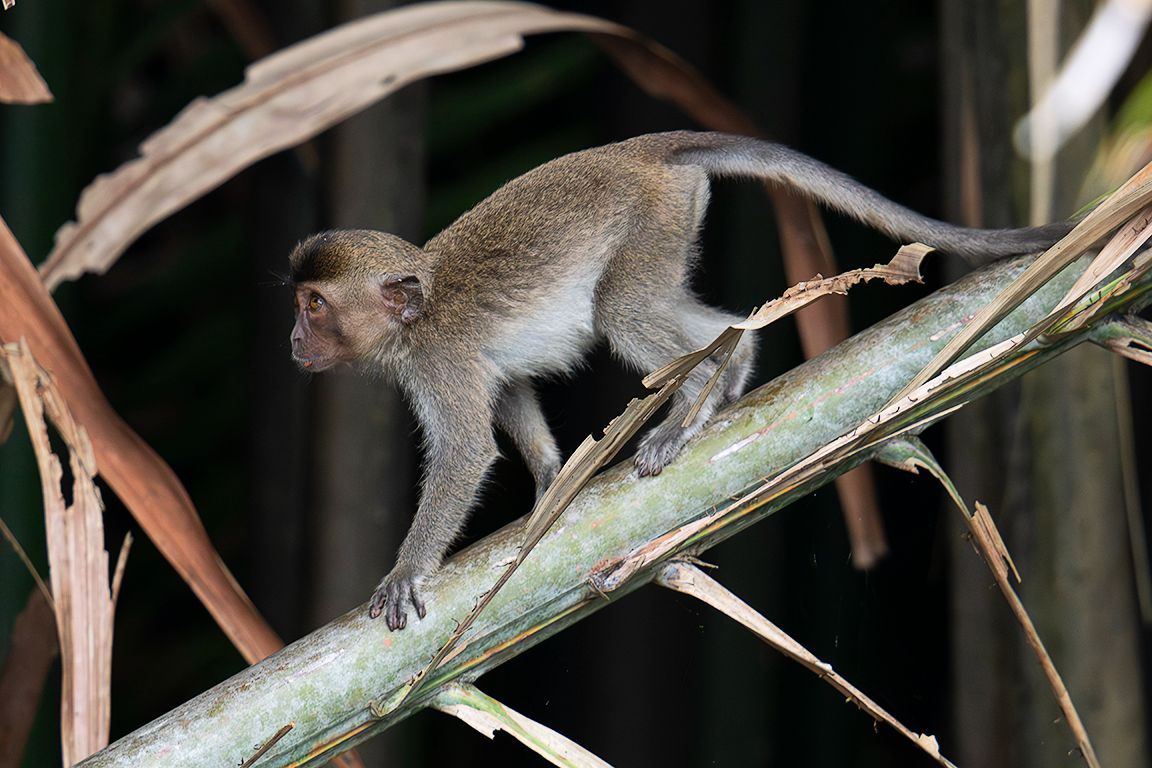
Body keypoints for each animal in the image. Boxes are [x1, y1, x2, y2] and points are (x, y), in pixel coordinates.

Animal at [289, 131, 1070, 631]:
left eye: (314, 305)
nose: (293, 340)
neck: (413, 316)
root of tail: (636, 150)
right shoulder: (454, 361)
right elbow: (506, 390)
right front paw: (550, 479)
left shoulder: (436, 359)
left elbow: (465, 454)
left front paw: (407, 570)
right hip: (675, 217)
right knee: (676, 309)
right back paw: (732, 363)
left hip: (652, 216)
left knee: (620, 305)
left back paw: (690, 410)